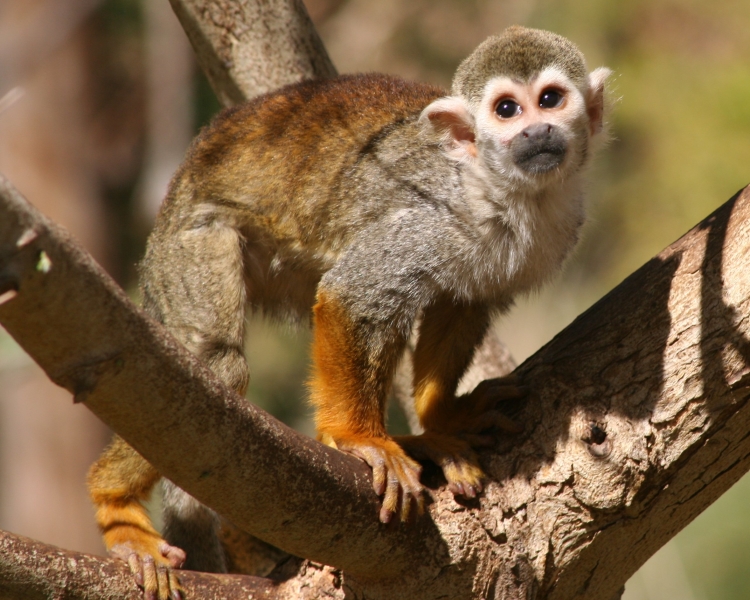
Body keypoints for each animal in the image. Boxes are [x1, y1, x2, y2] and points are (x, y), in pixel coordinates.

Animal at [87, 26, 610, 600]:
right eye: (507, 109)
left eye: (550, 99)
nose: (536, 131)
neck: (508, 192)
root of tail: (181, 178)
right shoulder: (431, 218)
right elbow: (352, 295)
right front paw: (360, 439)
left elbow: (462, 303)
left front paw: (442, 417)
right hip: (192, 239)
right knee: (218, 363)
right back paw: (114, 505)